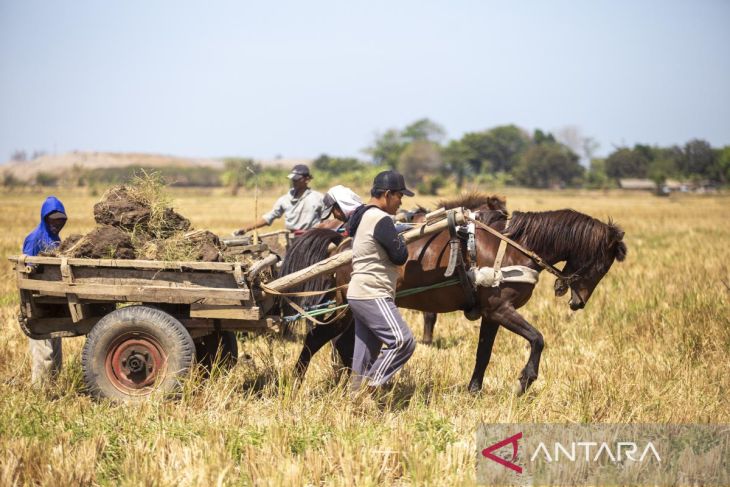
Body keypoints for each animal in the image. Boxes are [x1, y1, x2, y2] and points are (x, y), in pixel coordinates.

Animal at [280, 193, 624, 392]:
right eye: (602, 264)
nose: (579, 302)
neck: (514, 245)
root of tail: (341, 244)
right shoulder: (501, 309)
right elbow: (538, 339)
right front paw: (526, 380)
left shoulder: (491, 314)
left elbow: (484, 353)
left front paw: (474, 390)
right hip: (349, 307)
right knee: (317, 338)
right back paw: (296, 381)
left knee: (342, 344)